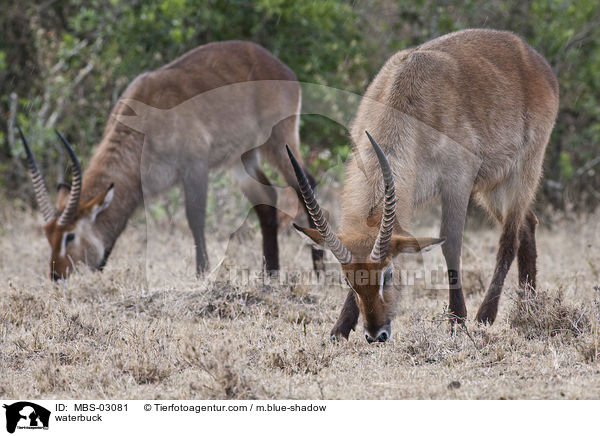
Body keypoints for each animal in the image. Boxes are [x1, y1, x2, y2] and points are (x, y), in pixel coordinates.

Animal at [19, 41, 324, 280]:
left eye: (69, 235)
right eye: (48, 235)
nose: (56, 276)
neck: (143, 122)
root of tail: (280, 66)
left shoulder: (195, 165)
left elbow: (194, 217)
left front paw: (202, 273)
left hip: (278, 141)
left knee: (305, 182)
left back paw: (319, 269)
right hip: (242, 158)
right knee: (267, 202)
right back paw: (270, 274)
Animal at [288, 29, 560, 342]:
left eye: (389, 274)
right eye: (349, 280)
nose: (376, 333)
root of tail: (534, 58)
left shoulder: (457, 180)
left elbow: (450, 243)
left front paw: (457, 319)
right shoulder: (409, 195)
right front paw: (341, 327)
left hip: (523, 169)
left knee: (510, 238)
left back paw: (487, 314)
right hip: (491, 187)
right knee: (528, 224)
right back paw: (529, 306)